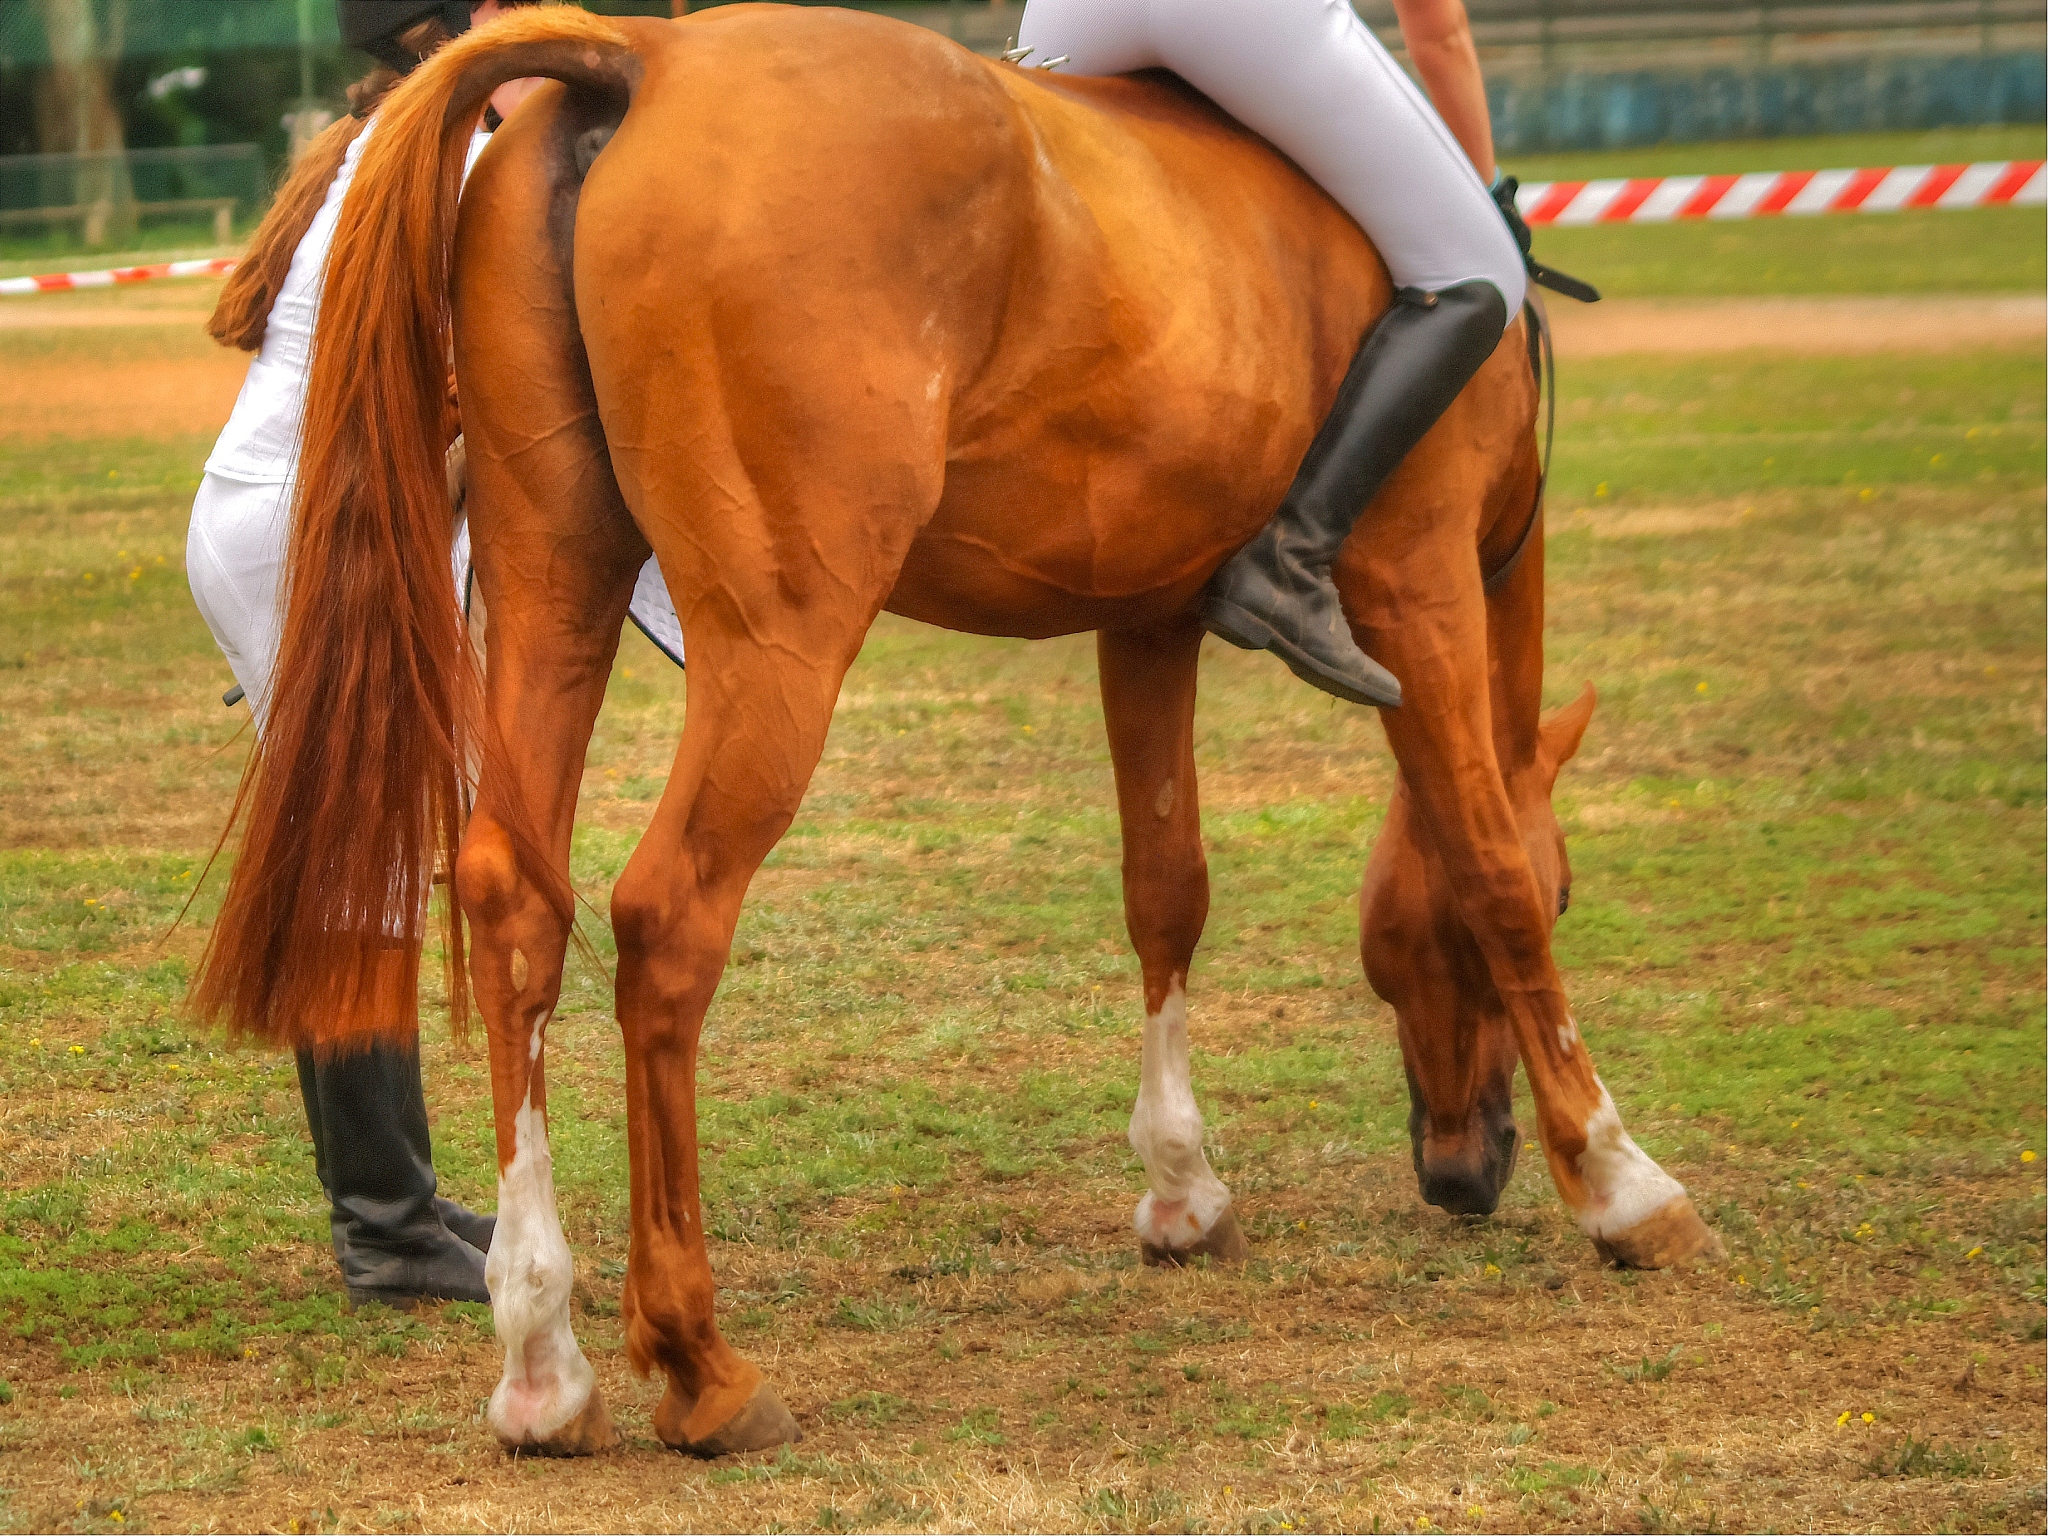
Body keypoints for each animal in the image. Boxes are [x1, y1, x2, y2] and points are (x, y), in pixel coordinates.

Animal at [193, 3, 1722, 1459]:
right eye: (1577, 894)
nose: (1461, 1176)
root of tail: (646, 56)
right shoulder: (1418, 587)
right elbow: (1489, 861)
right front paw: (1623, 1185)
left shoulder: (1147, 618)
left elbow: (1166, 886)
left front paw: (1182, 1191)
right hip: (782, 634)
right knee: (669, 919)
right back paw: (697, 1365)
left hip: (550, 579)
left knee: (517, 898)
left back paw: (542, 1368)